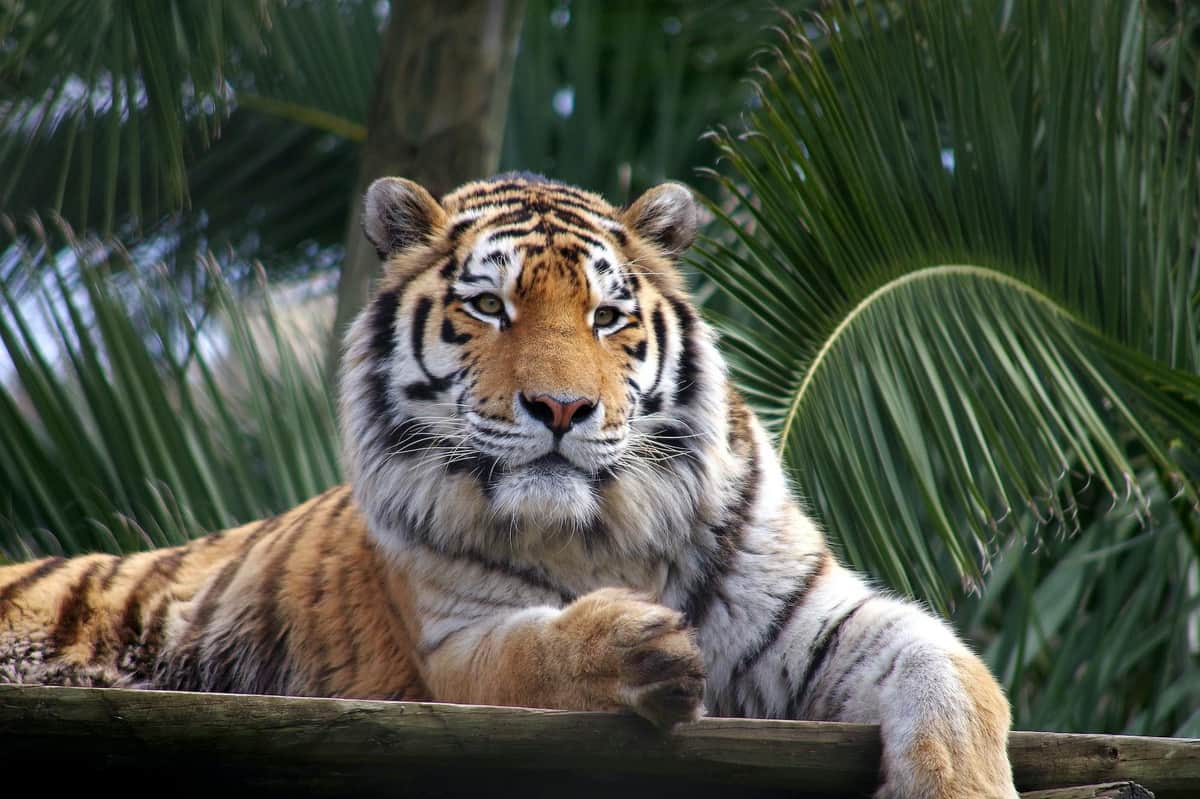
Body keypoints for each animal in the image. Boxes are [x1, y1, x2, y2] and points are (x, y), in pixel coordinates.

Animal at [0, 173, 1017, 798]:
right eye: (488, 306)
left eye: (607, 316)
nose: (561, 407)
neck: (605, 531)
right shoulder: (454, 644)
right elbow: (535, 653)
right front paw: (634, 648)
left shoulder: (817, 615)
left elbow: (957, 673)